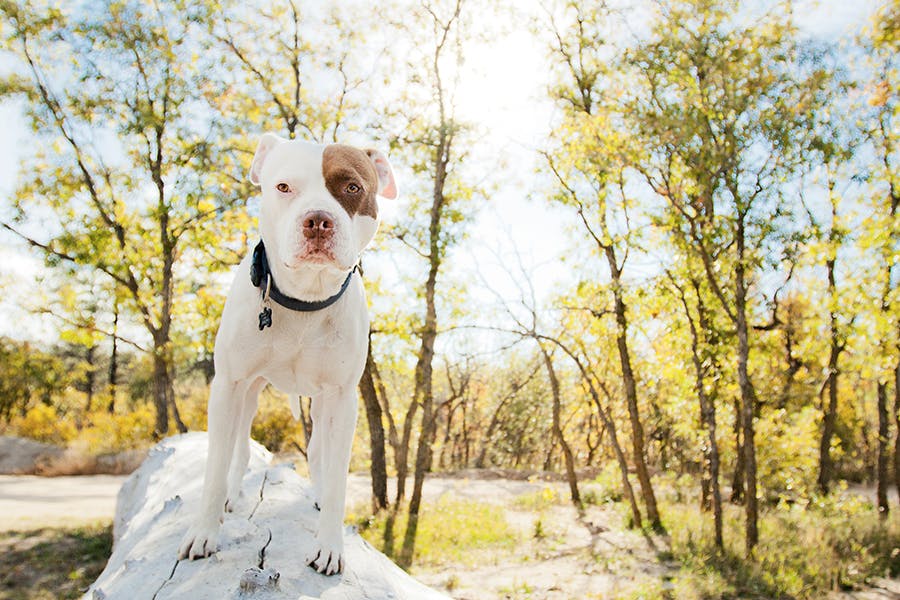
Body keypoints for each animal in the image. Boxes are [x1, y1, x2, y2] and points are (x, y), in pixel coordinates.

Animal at [178, 132, 396, 576]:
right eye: (283, 187)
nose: (318, 220)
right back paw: (230, 494)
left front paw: (330, 545)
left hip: (322, 404)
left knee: (317, 452)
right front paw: (203, 532)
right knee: (240, 445)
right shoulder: (227, 385)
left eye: (352, 187)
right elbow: (214, 464)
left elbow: (338, 476)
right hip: (247, 392)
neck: (304, 300)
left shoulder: (343, 399)